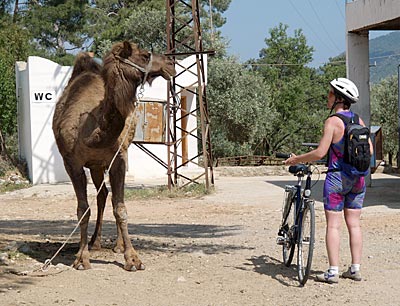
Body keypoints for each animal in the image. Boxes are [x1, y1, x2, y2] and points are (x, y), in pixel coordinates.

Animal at [52, 40, 176, 270]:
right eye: (145, 55)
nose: (170, 64)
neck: (89, 132)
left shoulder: (119, 158)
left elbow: (121, 208)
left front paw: (133, 258)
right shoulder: (71, 163)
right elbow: (83, 209)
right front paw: (81, 258)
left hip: (104, 163)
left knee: (108, 196)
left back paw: (116, 245)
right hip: (95, 165)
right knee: (102, 195)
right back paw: (94, 242)